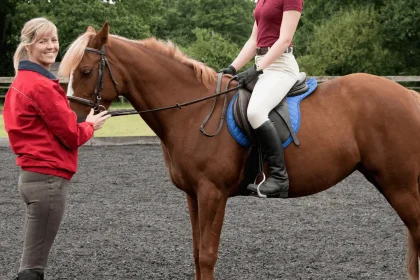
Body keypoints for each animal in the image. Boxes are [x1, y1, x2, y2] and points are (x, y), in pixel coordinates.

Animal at [60, 23, 420, 278]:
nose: (72, 121)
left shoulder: (212, 193)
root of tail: (408, 95)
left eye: (86, 71)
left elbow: (207, 255)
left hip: (399, 184)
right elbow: (196, 254)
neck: (192, 111)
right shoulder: (193, 195)